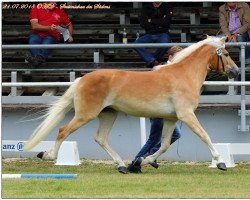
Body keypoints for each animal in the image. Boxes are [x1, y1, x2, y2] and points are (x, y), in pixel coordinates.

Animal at [24, 36, 239, 173]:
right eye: (227, 53)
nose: (236, 71)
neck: (183, 75)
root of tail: (81, 79)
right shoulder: (186, 115)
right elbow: (205, 136)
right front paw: (221, 162)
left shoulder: (171, 119)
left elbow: (165, 144)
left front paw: (146, 160)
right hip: (86, 115)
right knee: (63, 131)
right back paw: (48, 155)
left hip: (108, 114)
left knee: (100, 138)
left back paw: (122, 166)